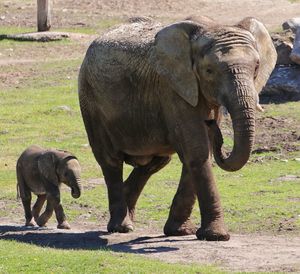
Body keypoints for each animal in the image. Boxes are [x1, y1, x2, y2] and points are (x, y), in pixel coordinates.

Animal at [79, 16, 276, 240]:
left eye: (257, 67)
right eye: (209, 71)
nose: (211, 124)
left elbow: (198, 154)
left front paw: (180, 232)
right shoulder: (174, 89)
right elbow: (197, 151)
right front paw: (216, 236)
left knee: (155, 162)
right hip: (90, 99)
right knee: (110, 161)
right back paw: (122, 226)